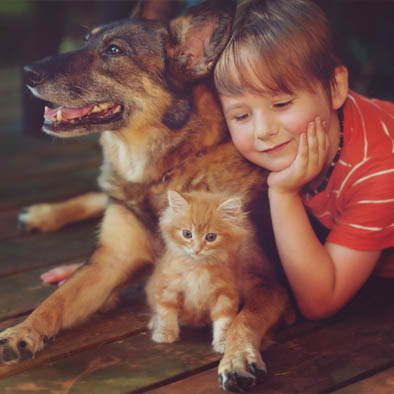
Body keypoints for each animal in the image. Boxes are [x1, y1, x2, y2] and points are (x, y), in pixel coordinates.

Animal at [146, 189, 264, 352]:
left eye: (211, 237)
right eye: (187, 234)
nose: (197, 250)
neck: (198, 267)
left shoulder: (225, 292)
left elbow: (224, 320)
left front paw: (223, 342)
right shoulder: (169, 286)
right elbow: (166, 311)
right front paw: (165, 332)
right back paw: (154, 321)